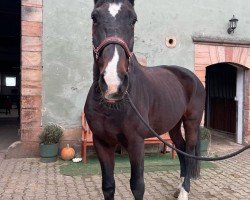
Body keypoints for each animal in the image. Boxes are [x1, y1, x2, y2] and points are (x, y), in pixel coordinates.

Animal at [84, 0, 205, 199]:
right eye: (94, 18)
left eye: (134, 20)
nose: (113, 83)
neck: (113, 106)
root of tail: (192, 77)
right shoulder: (102, 142)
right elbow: (108, 185)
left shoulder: (136, 142)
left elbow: (137, 185)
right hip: (173, 125)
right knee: (180, 148)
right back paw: (179, 186)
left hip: (191, 122)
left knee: (188, 152)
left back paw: (184, 191)